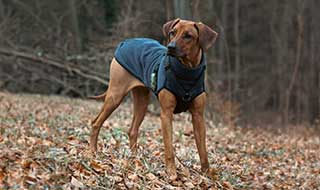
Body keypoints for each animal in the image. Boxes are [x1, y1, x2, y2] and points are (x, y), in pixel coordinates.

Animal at [89, 18, 218, 179]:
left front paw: (207, 174)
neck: (186, 71)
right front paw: (171, 173)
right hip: (115, 95)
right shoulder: (166, 114)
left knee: (132, 130)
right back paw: (93, 152)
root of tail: (126, 42)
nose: (170, 47)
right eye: (172, 32)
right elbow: (169, 147)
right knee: (96, 123)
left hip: (142, 101)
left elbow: (203, 150)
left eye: (188, 36)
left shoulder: (198, 116)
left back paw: (135, 158)